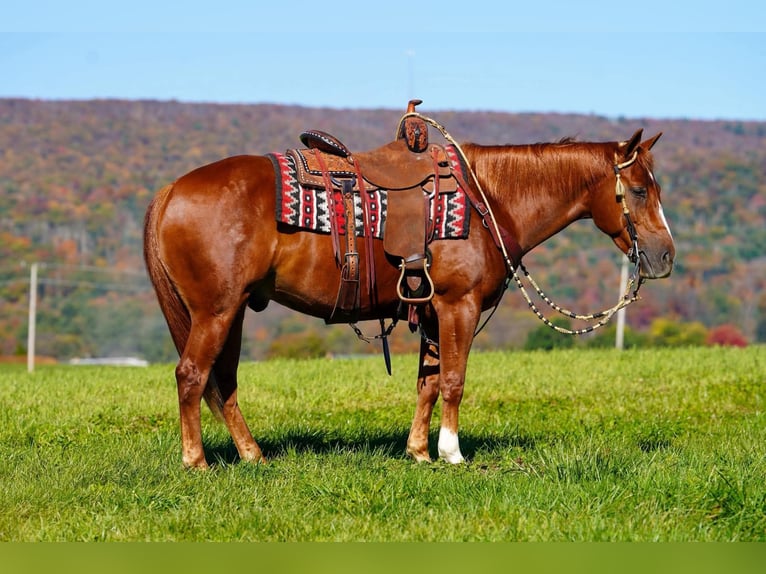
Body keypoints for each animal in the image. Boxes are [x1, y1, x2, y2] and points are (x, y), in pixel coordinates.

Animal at [143, 120, 674, 469]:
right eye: (640, 190)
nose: (665, 256)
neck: (488, 199)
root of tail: (172, 190)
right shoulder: (458, 306)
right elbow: (454, 380)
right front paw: (451, 453)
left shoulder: (433, 314)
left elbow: (429, 383)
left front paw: (419, 451)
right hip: (215, 311)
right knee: (192, 376)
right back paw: (196, 462)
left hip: (231, 313)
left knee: (224, 382)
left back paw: (253, 456)